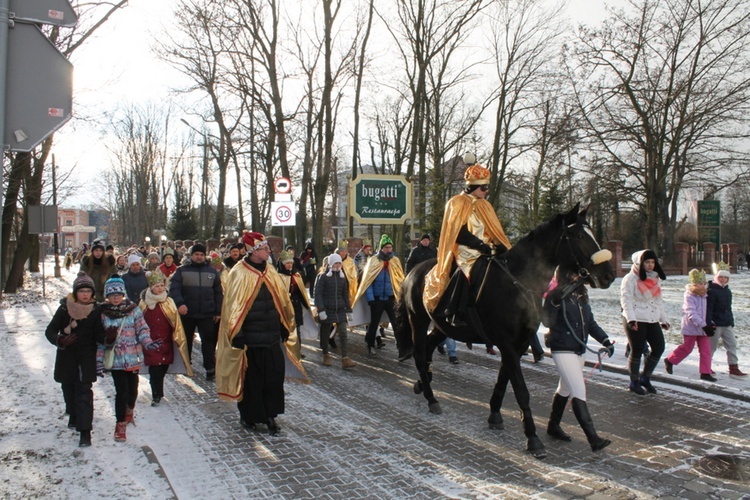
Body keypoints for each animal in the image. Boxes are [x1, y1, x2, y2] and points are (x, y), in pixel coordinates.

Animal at [396, 203, 612, 458]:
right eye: (578, 236)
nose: (608, 275)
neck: (517, 281)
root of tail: (413, 272)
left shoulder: (518, 343)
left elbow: (504, 379)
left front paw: (495, 415)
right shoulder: (507, 343)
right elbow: (520, 389)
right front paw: (533, 439)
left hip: (442, 326)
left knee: (429, 349)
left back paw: (422, 384)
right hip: (418, 321)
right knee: (420, 355)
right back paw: (431, 398)